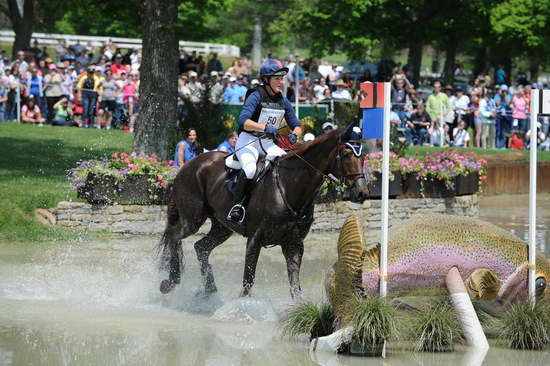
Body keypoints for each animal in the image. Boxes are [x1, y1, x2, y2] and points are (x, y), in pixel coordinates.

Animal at [157, 125, 368, 298]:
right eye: (346, 153)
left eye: (363, 155)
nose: (362, 192)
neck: (290, 186)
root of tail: (189, 165)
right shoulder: (255, 239)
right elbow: (247, 282)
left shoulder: (294, 244)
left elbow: (295, 287)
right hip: (192, 219)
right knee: (175, 236)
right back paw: (170, 282)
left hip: (222, 226)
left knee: (201, 247)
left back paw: (209, 290)